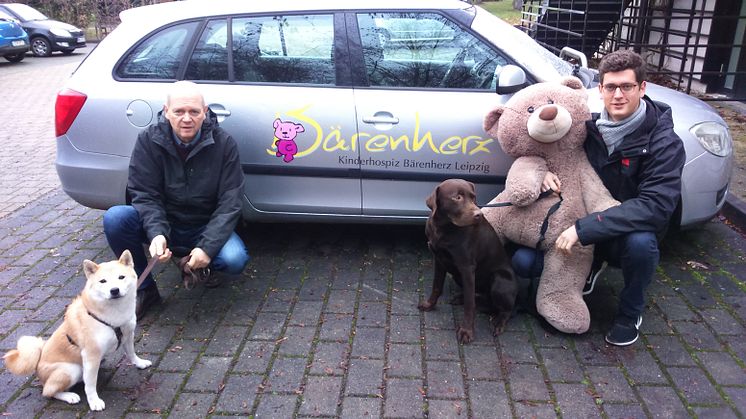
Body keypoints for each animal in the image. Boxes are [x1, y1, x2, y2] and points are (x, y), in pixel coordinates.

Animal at [2, 251, 151, 412]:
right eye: (103, 281)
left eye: (121, 277)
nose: (114, 290)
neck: (112, 315)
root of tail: (37, 364)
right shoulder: (91, 355)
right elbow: (90, 385)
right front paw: (94, 401)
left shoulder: (128, 335)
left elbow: (131, 353)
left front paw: (140, 363)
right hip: (71, 370)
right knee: (48, 391)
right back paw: (69, 396)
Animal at [418, 179, 516, 342]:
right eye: (457, 197)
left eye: (473, 197)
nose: (479, 214)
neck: (445, 228)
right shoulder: (438, 259)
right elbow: (436, 286)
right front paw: (429, 305)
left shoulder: (467, 268)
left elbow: (470, 305)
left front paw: (466, 331)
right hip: (458, 277)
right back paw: (460, 298)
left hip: (499, 280)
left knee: (506, 309)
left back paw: (498, 322)